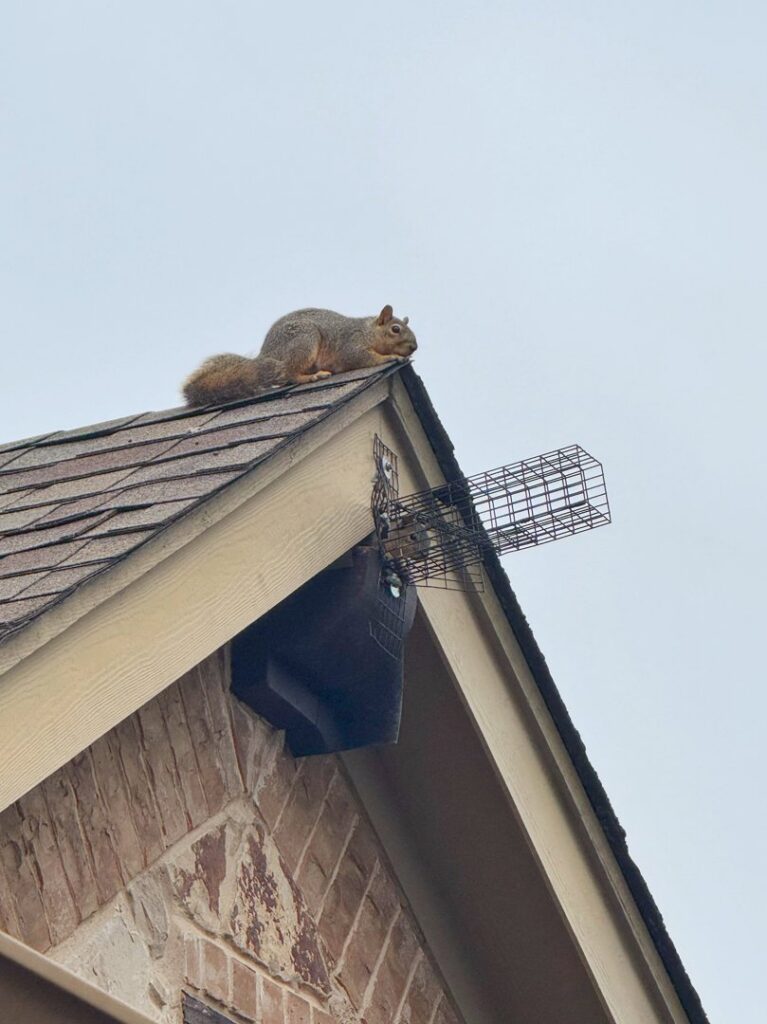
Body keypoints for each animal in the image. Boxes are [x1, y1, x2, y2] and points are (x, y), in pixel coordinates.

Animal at [182, 305, 417, 406]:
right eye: (396, 329)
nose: (414, 346)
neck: (369, 331)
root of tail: (266, 356)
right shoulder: (352, 345)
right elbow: (362, 358)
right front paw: (391, 357)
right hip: (304, 341)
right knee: (289, 374)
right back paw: (313, 376)